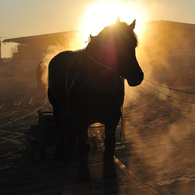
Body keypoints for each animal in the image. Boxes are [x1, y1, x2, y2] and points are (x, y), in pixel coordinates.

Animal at [48, 17, 144, 182]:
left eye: (133, 44)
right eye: (116, 45)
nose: (137, 76)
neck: (100, 83)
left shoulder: (113, 117)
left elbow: (110, 143)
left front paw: (110, 172)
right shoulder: (81, 118)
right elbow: (84, 145)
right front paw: (83, 174)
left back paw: (72, 154)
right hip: (58, 109)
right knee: (60, 127)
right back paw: (60, 156)